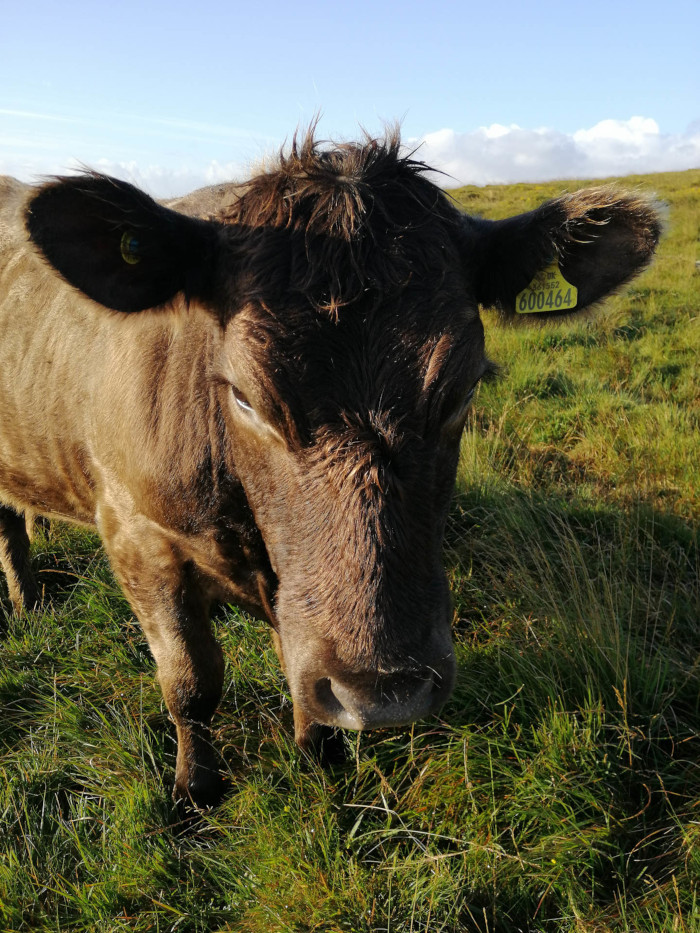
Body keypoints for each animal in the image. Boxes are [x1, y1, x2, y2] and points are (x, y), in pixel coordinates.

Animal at [0, 130, 661, 808]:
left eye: (464, 389)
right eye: (244, 396)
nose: (384, 694)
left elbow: (295, 656)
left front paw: (320, 751)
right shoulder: (139, 537)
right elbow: (191, 681)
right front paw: (197, 787)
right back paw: (27, 601)